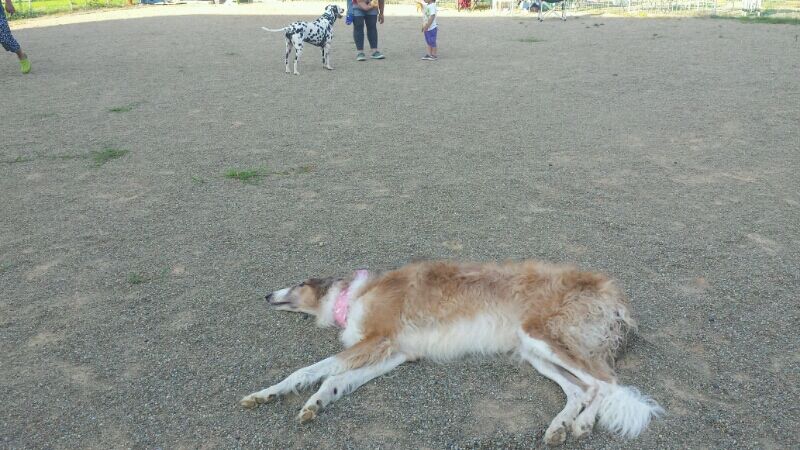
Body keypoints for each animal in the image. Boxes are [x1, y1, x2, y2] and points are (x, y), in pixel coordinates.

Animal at [241, 260, 663, 445]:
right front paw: (313, 403)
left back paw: (583, 424)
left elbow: (312, 371)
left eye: (298, 282)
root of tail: (614, 294)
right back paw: (560, 427)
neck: (353, 296)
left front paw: (267, 394)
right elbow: (335, 381)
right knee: (582, 389)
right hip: (534, 350)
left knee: (607, 384)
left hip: (545, 337)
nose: (266, 295)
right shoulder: (395, 352)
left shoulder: (377, 340)